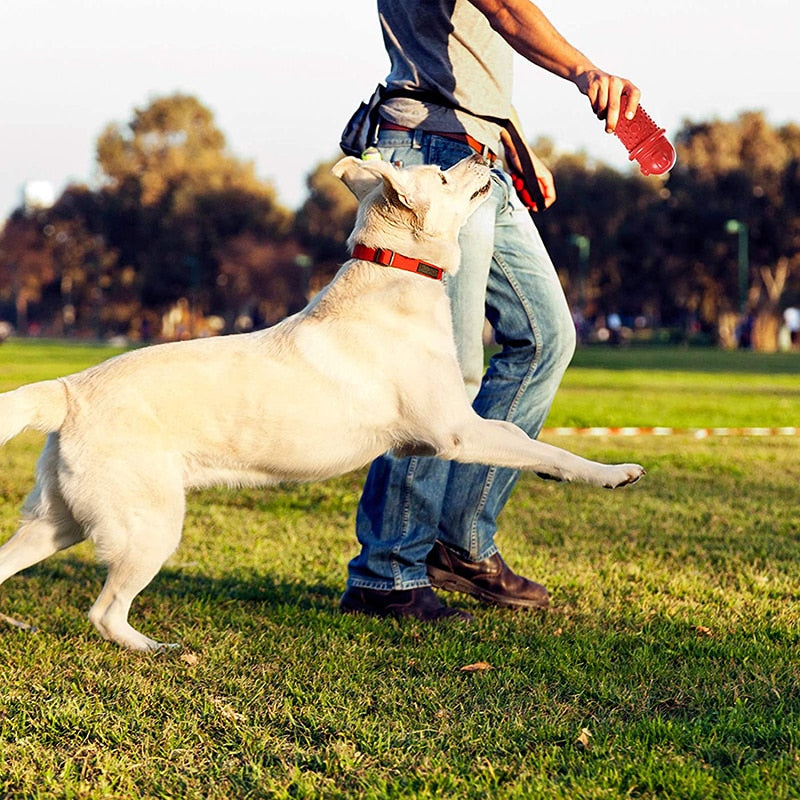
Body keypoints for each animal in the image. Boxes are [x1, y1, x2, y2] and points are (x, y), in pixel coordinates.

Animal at [0, 155, 644, 648]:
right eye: (441, 174)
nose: (486, 155)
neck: (397, 275)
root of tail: (69, 390)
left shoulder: (450, 432)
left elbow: (524, 442)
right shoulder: (455, 432)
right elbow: (543, 447)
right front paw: (612, 472)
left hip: (58, 522)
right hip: (149, 525)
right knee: (104, 613)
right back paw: (157, 649)